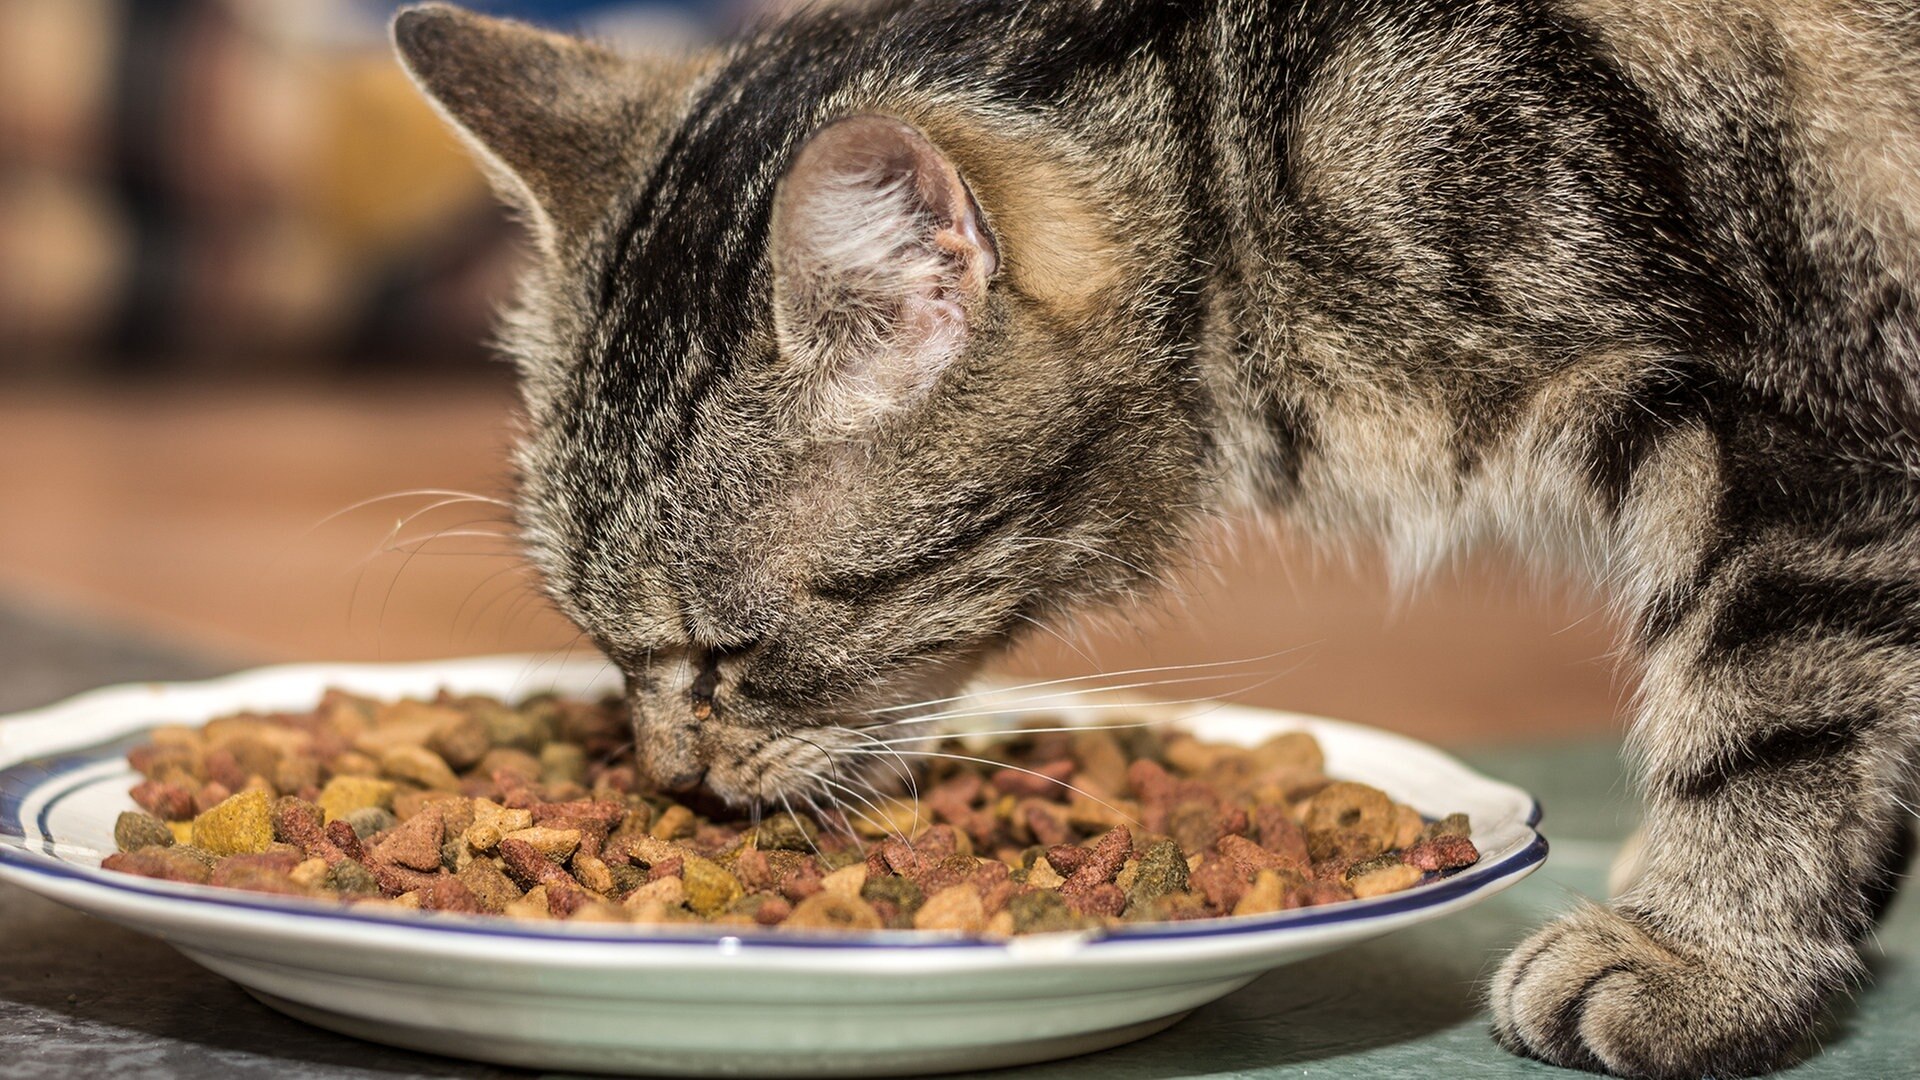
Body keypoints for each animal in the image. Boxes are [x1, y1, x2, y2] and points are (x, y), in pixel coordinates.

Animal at [389, 2, 1920, 1068]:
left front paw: (1706, 961)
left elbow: (1774, 727)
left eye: (729, 653)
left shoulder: (1808, 434)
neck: (1239, 155)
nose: (670, 778)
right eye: (598, 645)